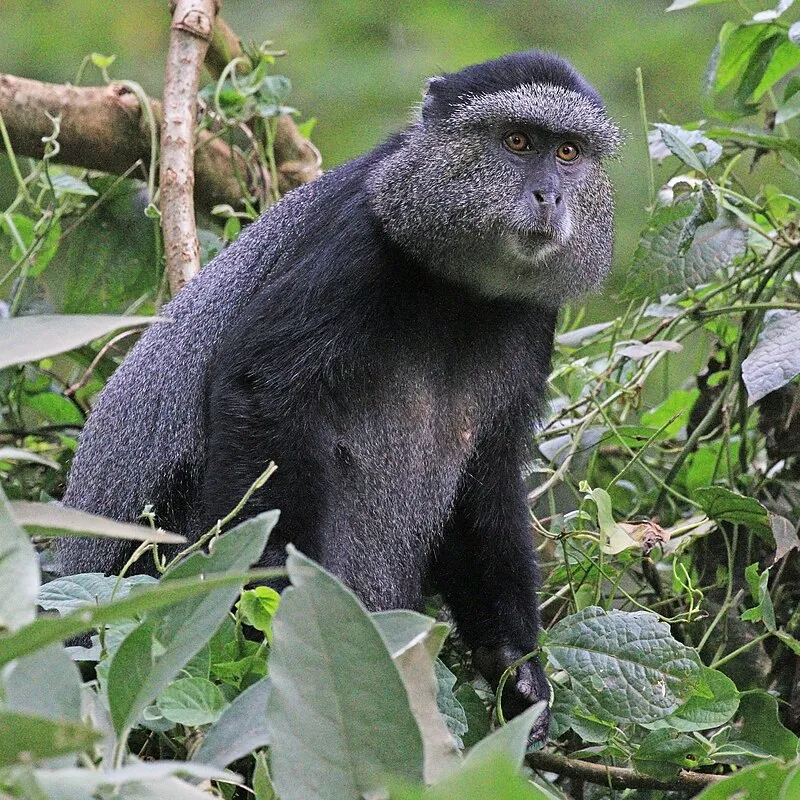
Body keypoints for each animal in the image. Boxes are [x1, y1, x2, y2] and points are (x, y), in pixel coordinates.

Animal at [60, 50, 621, 742]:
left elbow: (484, 473)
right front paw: (284, 610)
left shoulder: (534, 317)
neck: (459, 289)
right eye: (518, 141)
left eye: (568, 151)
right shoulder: (356, 244)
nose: (550, 194)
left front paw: (516, 668)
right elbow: (263, 388)